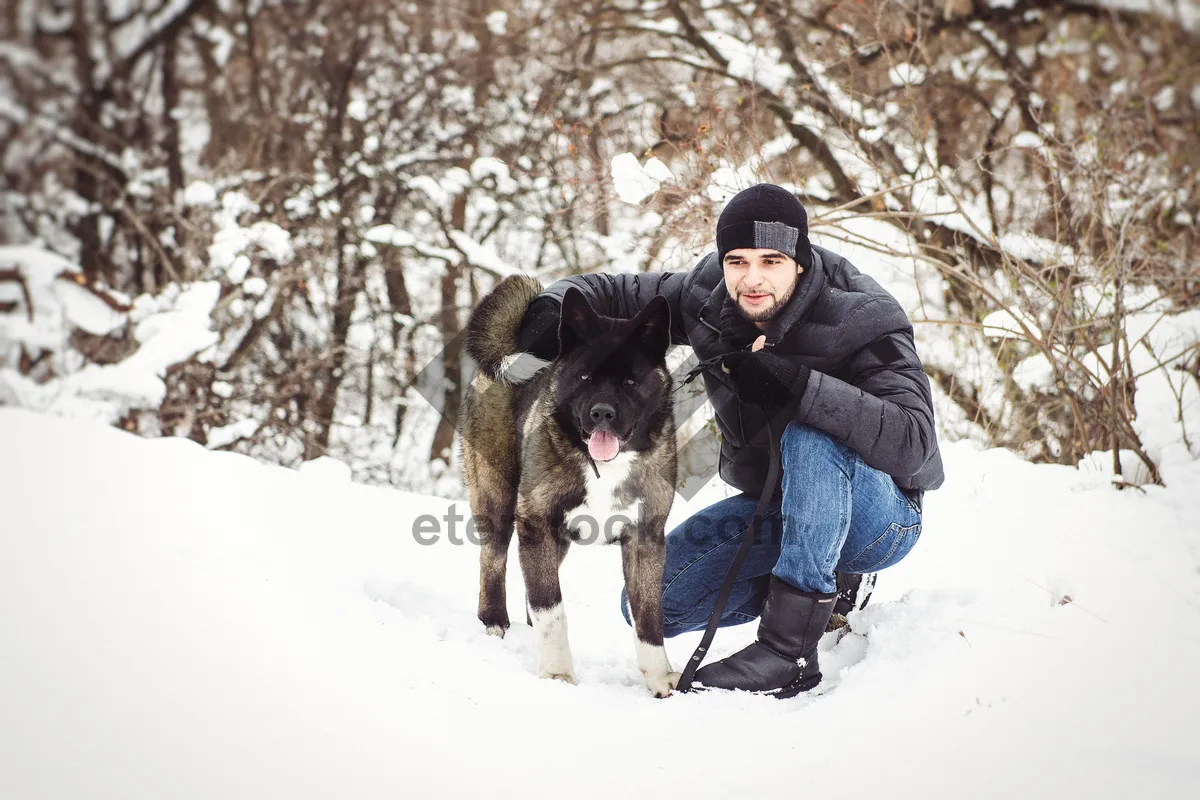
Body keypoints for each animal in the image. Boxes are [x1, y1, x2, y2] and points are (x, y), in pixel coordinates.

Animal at [458, 275, 681, 695]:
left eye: (630, 380)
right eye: (584, 376)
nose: (601, 414)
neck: (604, 467)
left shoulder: (645, 539)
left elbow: (649, 618)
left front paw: (661, 678)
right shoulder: (537, 525)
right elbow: (552, 608)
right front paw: (558, 674)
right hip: (498, 499)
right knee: (492, 560)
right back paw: (493, 620)